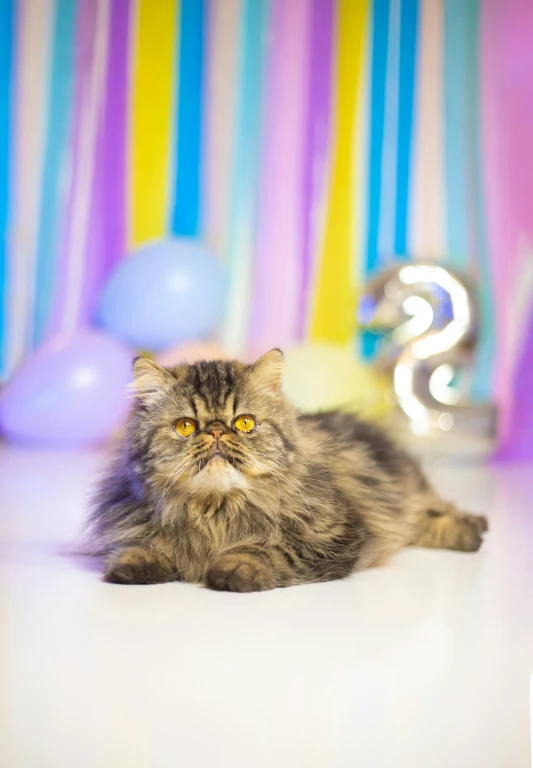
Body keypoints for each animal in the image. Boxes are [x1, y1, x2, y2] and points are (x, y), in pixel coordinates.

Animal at [86, 352, 486, 592]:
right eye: (185, 427)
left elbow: (271, 549)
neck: (215, 511)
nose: (215, 431)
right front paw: (135, 563)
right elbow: (148, 544)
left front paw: (233, 568)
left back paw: (473, 531)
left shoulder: (334, 536)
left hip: (404, 496)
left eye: (245, 423)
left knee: (433, 511)